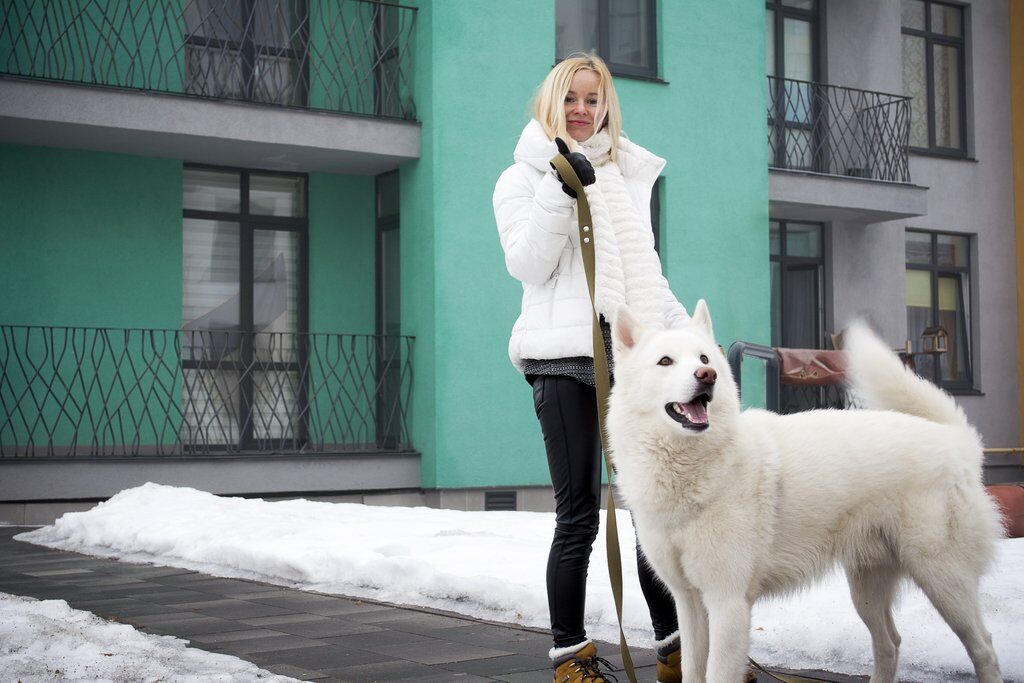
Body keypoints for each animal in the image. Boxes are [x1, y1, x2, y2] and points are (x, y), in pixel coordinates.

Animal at [606, 301, 999, 679]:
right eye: (665, 361)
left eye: (703, 359)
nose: (708, 376)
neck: (695, 469)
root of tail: (956, 439)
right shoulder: (688, 603)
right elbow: (692, 671)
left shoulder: (727, 603)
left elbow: (717, 673)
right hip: (867, 589)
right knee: (890, 643)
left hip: (944, 580)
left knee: (984, 648)